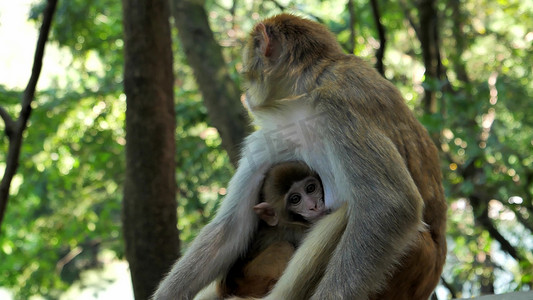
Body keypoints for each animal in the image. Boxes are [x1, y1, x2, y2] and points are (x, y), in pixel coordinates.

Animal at [154, 12, 444, 298]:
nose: (245, 85)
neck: (307, 92)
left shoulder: (337, 108)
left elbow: (391, 206)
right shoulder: (275, 133)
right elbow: (232, 228)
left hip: (411, 263)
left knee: (344, 215)